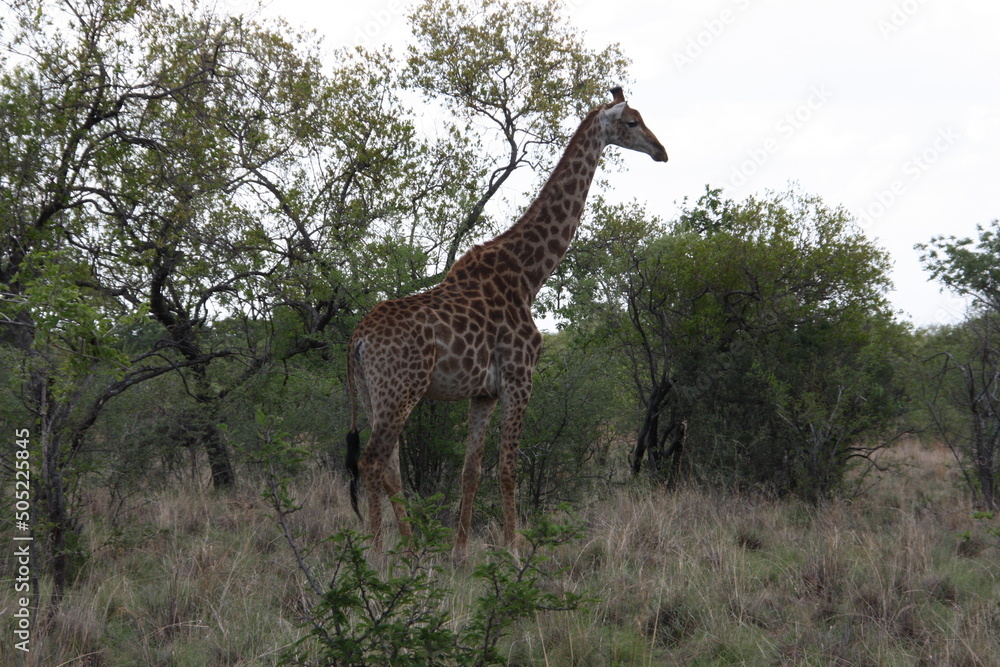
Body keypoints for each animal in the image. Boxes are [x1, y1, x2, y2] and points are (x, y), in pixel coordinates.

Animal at [345, 86, 667, 558]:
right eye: (631, 122)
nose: (661, 151)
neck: (529, 274)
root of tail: (357, 340)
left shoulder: (483, 392)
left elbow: (471, 470)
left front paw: (459, 555)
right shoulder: (520, 376)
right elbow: (508, 469)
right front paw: (514, 550)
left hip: (373, 394)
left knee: (388, 466)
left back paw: (410, 551)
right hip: (400, 389)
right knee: (371, 461)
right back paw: (377, 556)